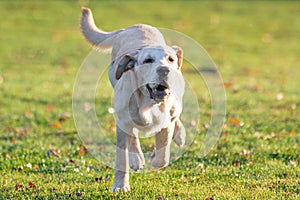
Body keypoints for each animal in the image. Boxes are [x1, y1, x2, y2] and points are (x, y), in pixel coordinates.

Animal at [81, 7, 186, 192]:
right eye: (148, 60)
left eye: (171, 59)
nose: (165, 70)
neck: (148, 102)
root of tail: (127, 28)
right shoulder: (122, 122)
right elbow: (122, 158)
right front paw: (120, 185)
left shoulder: (167, 119)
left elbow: (163, 154)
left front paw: (156, 156)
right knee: (134, 136)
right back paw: (137, 158)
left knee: (175, 118)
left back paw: (179, 134)